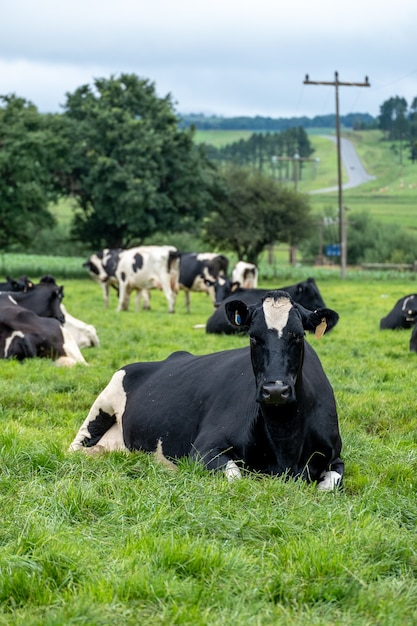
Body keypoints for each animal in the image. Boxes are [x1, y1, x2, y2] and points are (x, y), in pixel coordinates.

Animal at [69, 290, 342, 490]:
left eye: (298, 336)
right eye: (253, 337)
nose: (275, 391)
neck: (284, 439)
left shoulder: (336, 457)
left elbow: (330, 485)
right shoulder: (203, 449)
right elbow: (235, 477)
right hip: (103, 402)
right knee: (76, 448)